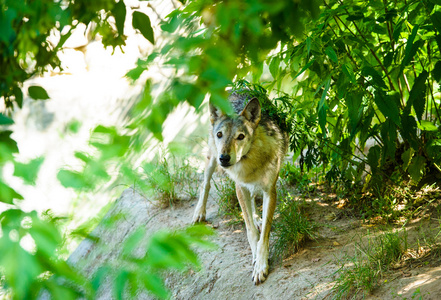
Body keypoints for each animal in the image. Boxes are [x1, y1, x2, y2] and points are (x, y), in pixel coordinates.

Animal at [191, 91, 288, 284]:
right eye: (220, 134)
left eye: (240, 136)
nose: (224, 158)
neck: (250, 160)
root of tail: (234, 89)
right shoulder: (239, 187)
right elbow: (250, 230)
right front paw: (257, 259)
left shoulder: (269, 191)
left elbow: (264, 234)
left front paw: (261, 265)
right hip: (211, 158)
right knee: (205, 183)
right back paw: (199, 212)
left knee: (252, 202)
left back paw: (258, 219)